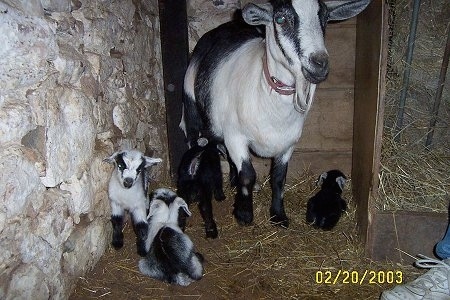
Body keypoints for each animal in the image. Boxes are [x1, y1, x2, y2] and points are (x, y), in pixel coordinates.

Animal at [179, 0, 370, 227]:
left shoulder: (288, 144)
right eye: (280, 19)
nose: (320, 63)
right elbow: (248, 175)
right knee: (194, 142)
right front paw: (244, 214)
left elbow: (279, 178)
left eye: (325, 18)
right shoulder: (236, 137)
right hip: (192, 106)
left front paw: (278, 215)